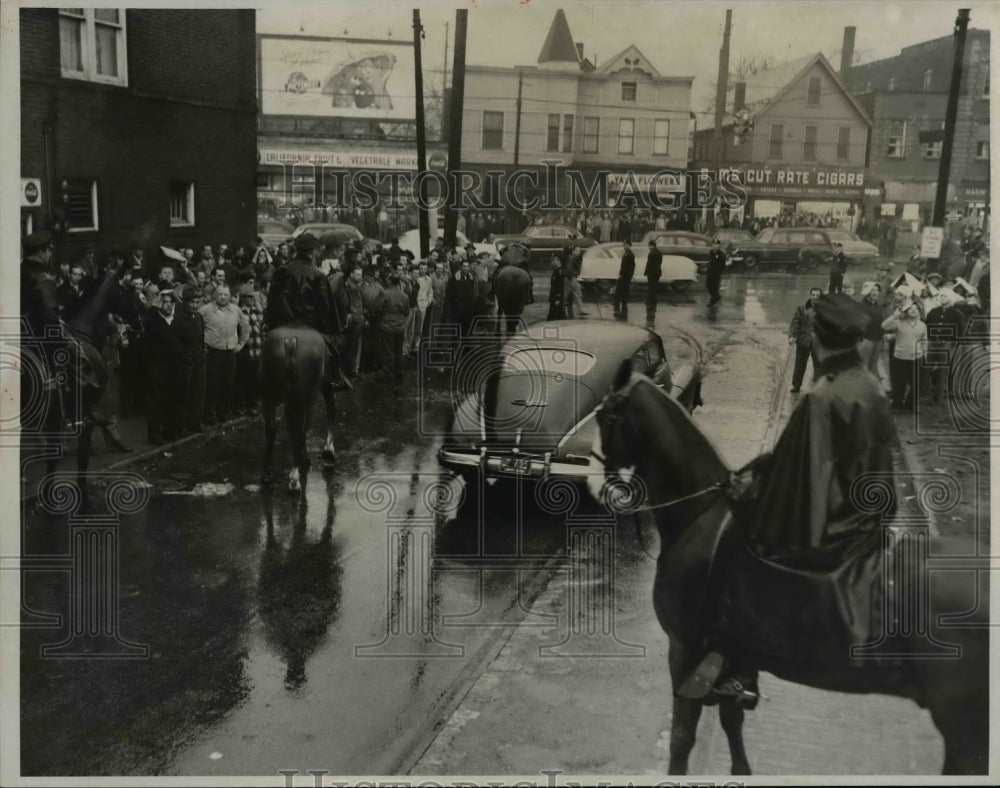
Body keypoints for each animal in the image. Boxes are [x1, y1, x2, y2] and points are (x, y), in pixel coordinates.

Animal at [258, 324, 336, 490]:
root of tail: (290, 340)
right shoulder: (320, 389)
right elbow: (330, 411)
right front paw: (328, 450)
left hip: (269, 398)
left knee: (272, 430)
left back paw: (267, 473)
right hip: (302, 399)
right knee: (299, 430)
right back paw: (295, 477)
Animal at [588, 362, 988, 776]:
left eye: (604, 415)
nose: (597, 487)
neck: (698, 514)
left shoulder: (684, 650)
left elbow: (682, 740)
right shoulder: (730, 657)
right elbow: (731, 722)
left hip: (961, 720)